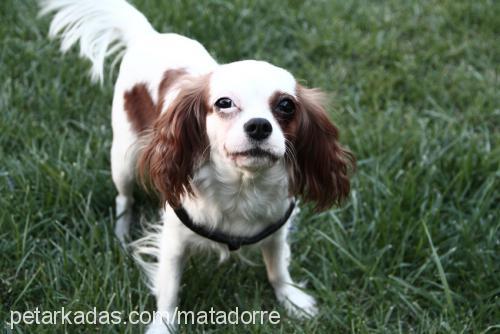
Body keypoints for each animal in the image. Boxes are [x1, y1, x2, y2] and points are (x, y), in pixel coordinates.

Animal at [40, 0, 356, 332]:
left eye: (286, 106)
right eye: (224, 103)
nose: (259, 126)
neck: (242, 186)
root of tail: (149, 36)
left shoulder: (277, 228)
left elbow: (277, 267)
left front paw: (292, 300)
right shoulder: (174, 240)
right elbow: (169, 289)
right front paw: (163, 325)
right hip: (123, 158)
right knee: (123, 198)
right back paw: (123, 233)